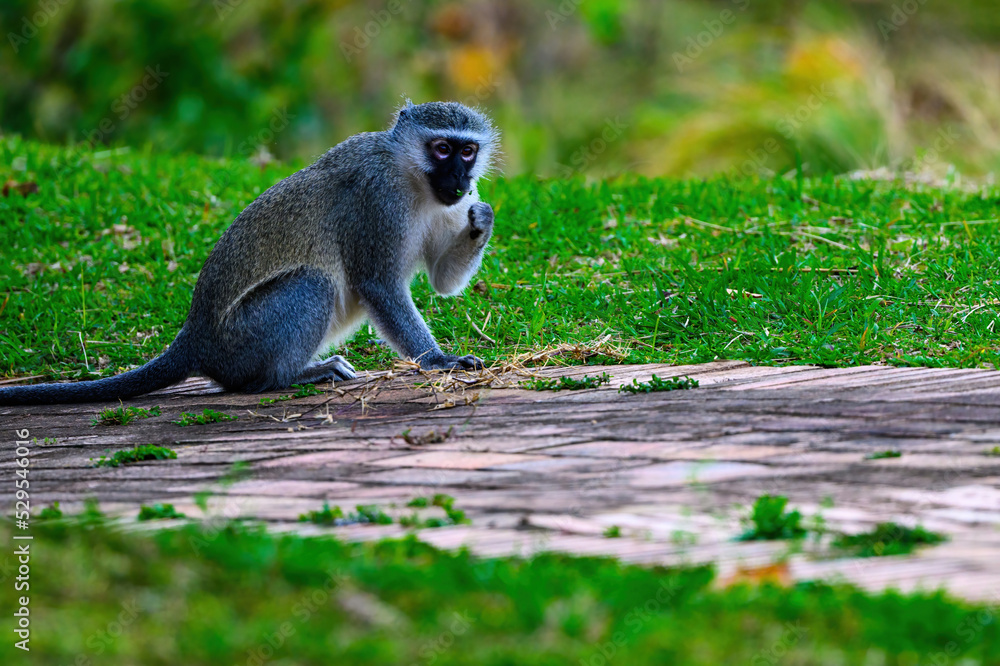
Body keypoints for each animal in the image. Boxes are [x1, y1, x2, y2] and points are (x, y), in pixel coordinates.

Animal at [0, 101, 499, 406]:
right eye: (441, 148)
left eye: (467, 152)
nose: (459, 179)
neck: (413, 178)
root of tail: (196, 339)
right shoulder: (378, 200)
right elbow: (378, 284)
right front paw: (439, 361)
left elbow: (442, 281)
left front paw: (483, 215)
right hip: (244, 339)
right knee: (310, 285)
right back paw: (287, 377)